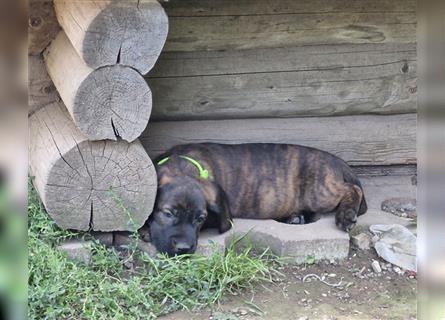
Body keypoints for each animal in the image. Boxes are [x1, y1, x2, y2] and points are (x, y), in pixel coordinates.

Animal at [147, 144, 366, 256]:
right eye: (168, 213)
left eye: (200, 219)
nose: (184, 249)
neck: (183, 165)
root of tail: (335, 160)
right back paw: (295, 217)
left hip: (319, 192)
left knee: (353, 189)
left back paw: (346, 215)